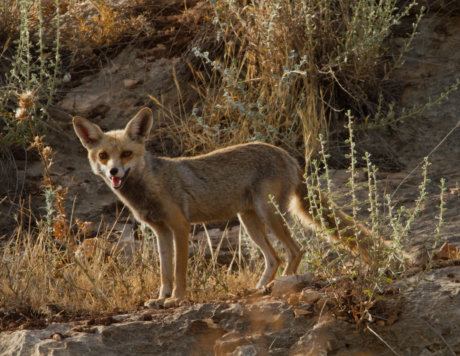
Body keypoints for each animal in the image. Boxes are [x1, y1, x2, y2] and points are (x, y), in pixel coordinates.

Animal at [72, 107, 374, 308]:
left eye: (126, 154)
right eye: (103, 155)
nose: (114, 172)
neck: (149, 187)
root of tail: (290, 158)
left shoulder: (181, 227)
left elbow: (179, 271)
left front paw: (176, 299)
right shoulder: (161, 231)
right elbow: (165, 271)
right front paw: (161, 298)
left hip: (269, 214)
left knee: (295, 251)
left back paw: (280, 286)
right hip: (249, 221)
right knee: (274, 258)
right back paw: (260, 289)